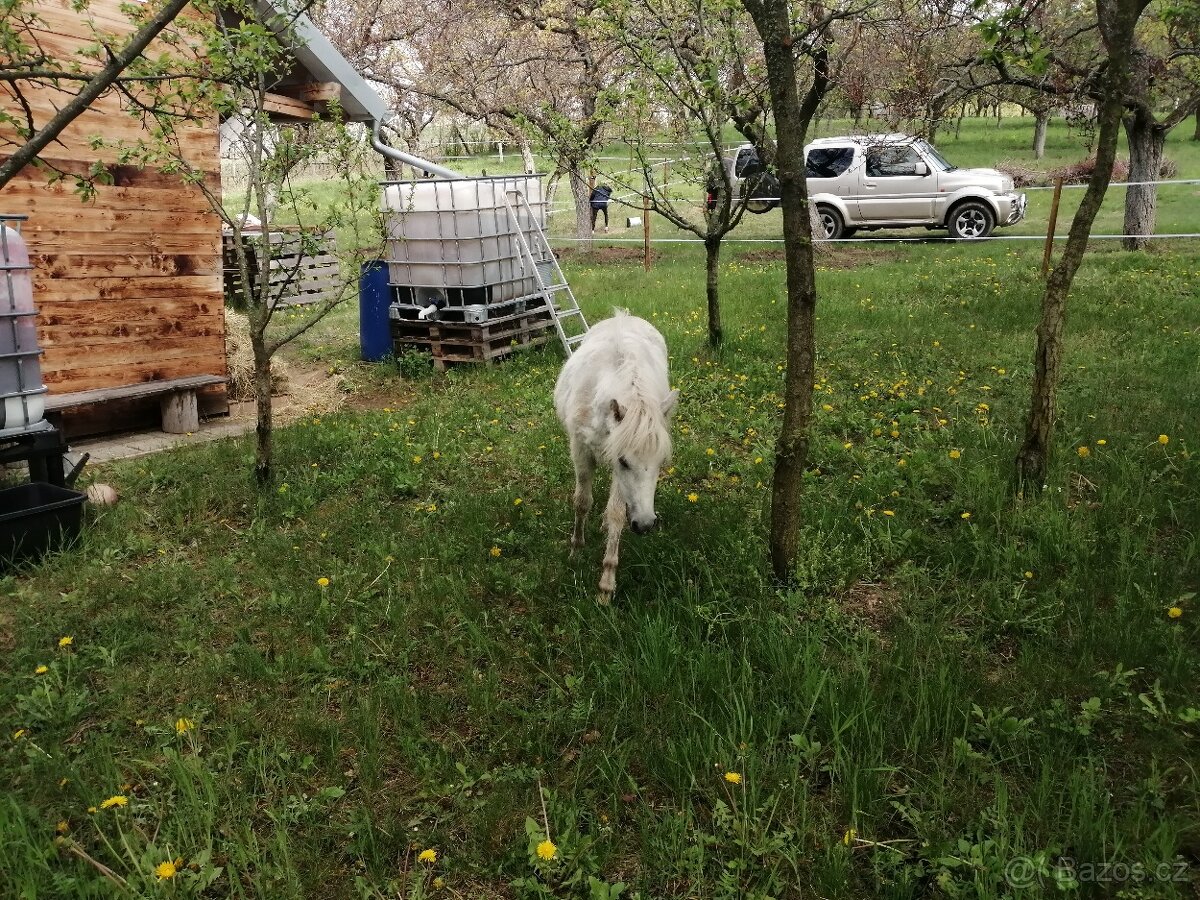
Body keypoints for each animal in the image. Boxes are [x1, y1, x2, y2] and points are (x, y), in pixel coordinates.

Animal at [554, 310, 678, 601]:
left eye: (660, 463)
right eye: (624, 461)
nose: (645, 525)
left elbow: (617, 514)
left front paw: (606, 584)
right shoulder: (581, 452)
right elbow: (582, 502)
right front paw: (576, 550)